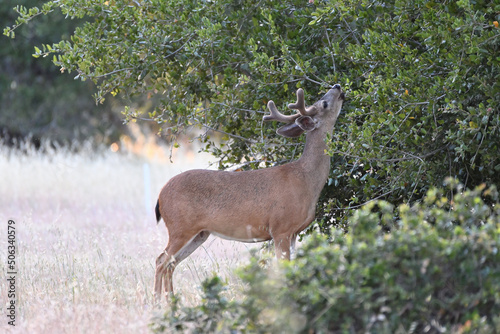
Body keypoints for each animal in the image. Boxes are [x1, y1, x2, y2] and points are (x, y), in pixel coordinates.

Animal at [154, 83, 346, 300]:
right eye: (324, 103)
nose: (337, 86)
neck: (306, 179)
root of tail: (160, 195)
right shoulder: (280, 227)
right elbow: (282, 268)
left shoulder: (294, 231)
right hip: (180, 227)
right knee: (160, 261)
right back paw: (157, 301)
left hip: (199, 234)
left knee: (170, 264)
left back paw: (171, 301)